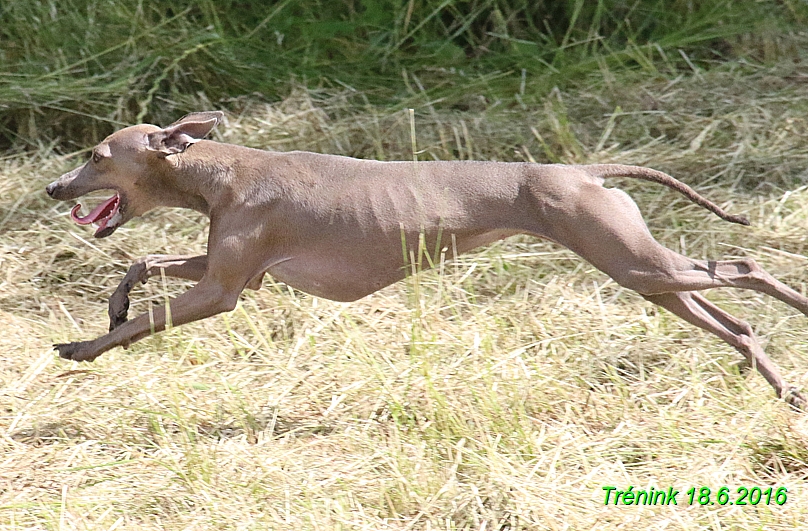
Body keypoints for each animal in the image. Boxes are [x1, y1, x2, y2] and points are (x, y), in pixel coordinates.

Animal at [45, 112, 808, 410]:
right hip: (644, 273)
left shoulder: (223, 290)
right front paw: (110, 304)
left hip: (633, 261)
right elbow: (142, 262)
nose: (52, 188)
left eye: (95, 155)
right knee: (735, 319)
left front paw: (83, 346)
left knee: (745, 267)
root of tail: (582, 172)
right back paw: (774, 380)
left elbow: (142, 321)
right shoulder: (232, 272)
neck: (221, 171)